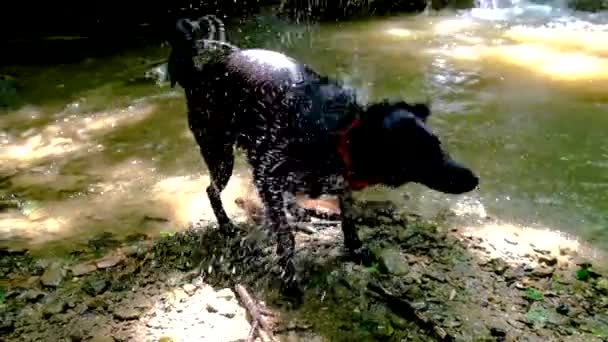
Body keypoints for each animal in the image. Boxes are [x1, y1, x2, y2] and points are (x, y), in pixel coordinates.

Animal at [167, 15, 480, 294]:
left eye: (439, 145)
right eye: (421, 155)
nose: (475, 179)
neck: (338, 133)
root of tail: (197, 76)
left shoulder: (339, 181)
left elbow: (348, 219)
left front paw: (355, 248)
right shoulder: (268, 176)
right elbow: (286, 237)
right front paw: (289, 278)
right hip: (221, 156)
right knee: (211, 190)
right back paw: (227, 226)